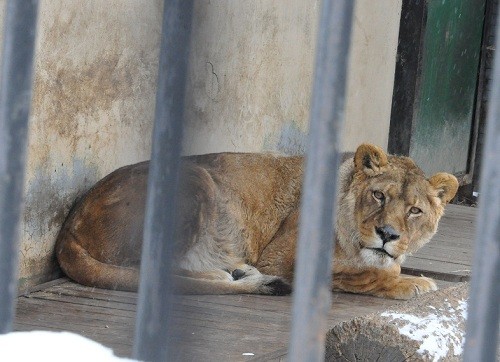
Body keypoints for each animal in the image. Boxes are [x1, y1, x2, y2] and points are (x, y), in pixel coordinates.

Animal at [54, 144, 458, 300]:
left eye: (415, 211)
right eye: (379, 196)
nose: (387, 234)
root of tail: (69, 225)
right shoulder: (279, 258)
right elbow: (363, 275)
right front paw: (413, 283)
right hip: (195, 178)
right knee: (147, 270)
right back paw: (231, 276)